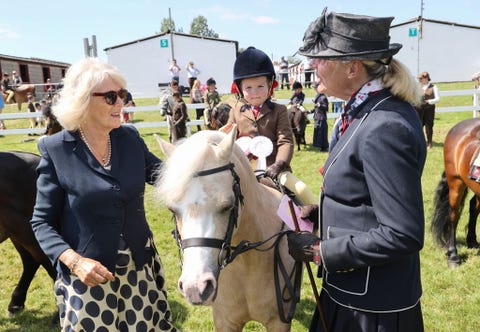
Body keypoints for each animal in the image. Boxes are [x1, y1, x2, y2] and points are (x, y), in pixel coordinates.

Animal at [156, 126, 302, 330]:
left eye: (227, 207)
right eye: (172, 210)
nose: (195, 288)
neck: (246, 262)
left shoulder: (278, 323)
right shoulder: (225, 321)